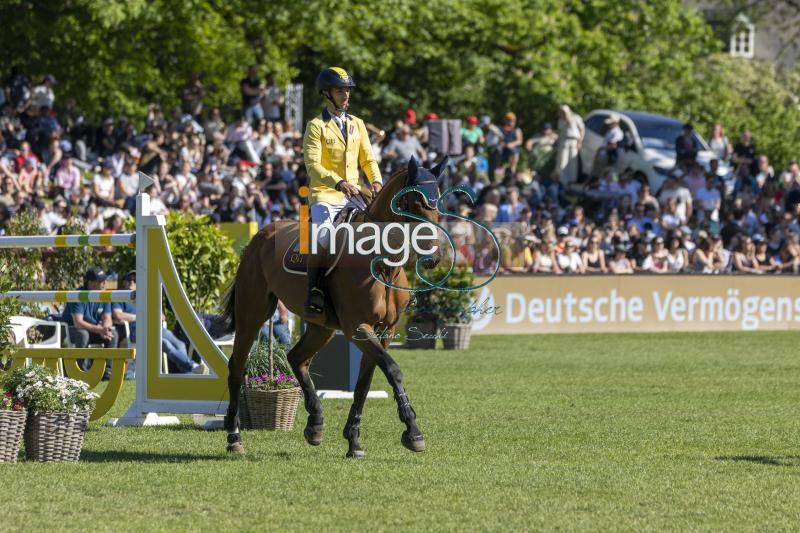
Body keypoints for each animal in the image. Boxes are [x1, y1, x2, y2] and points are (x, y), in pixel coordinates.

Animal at [220, 156, 444, 456]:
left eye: (438, 201)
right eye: (415, 202)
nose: (434, 257)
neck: (381, 262)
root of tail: (261, 235)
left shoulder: (384, 331)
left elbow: (365, 383)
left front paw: (354, 440)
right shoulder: (358, 327)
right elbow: (393, 370)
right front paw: (413, 431)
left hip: (321, 327)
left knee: (296, 358)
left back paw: (315, 424)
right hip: (252, 313)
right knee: (237, 366)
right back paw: (234, 437)